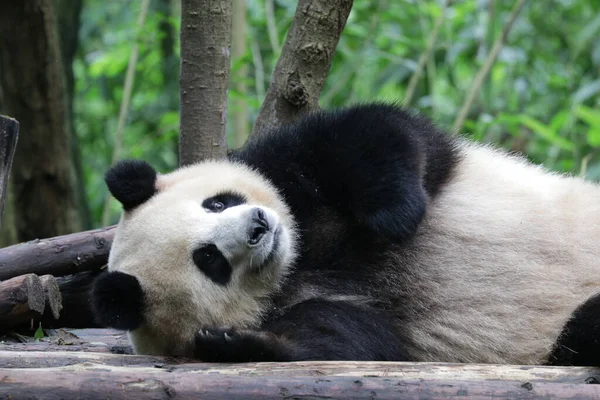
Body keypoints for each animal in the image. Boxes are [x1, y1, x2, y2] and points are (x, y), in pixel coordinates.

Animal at [91, 103, 600, 366]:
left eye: (217, 203)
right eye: (209, 259)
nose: (259, 227)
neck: (299, 261)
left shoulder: (289, 168)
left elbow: (373, 135)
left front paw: (397, 217)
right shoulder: (329, 308)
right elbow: (353, 341)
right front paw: (237, 344)